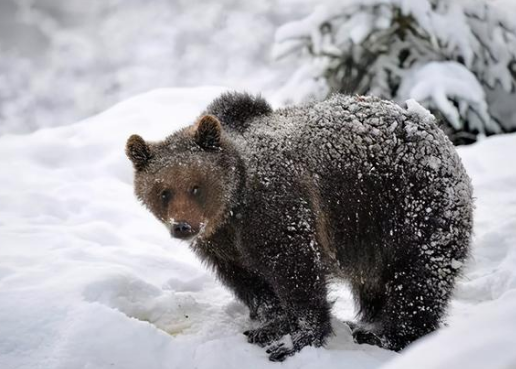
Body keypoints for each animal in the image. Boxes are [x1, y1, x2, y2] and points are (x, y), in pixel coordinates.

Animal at [127, 90, 474, 360]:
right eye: (163, 191)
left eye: (196, 186)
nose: (183, 226)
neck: (231, 209)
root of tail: (435, 129)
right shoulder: (223, 245)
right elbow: (250, 282)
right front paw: (268, 325)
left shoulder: (277, 209)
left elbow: (296, 273)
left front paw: (295, 340)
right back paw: (370, 324)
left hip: (408, 207)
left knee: (418, 278)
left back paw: (388, 335)